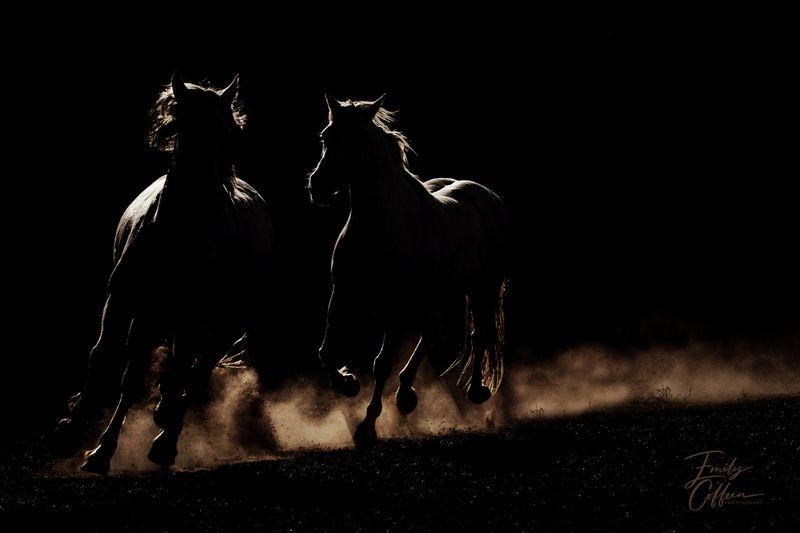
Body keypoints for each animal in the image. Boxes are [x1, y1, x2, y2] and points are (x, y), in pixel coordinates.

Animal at [52, 73, 274, 474]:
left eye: (228, 132)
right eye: (185, 128)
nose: (211, 202)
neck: (176, 235)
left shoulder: (190, 316)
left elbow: (177, 374)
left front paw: (141, 438)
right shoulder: (122, 301)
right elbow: (105, 360)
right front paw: (76, 438)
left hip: (224, 321)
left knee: (196, 375)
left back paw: (165, 440)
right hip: (153, 316)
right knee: (152, 374)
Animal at [307, 95, 511, 448]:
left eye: (356, 139)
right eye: (326, 137)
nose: (318, 186)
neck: (378, 226)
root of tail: (485, 195)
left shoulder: (395, 307)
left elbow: (382, 364)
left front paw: (367, 426)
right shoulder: (342, 295)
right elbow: (326, 351)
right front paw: (348, 383)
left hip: (481, 288)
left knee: (478, 334)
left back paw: (475, 391)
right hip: (436, 295)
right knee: (431, 332)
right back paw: (406, 396)